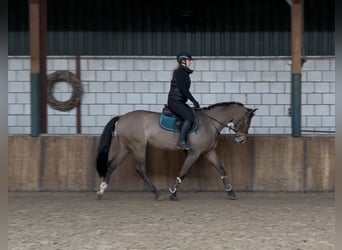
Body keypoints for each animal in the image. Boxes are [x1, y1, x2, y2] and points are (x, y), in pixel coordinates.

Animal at [95, 100, 255, 200]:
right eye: (247, 121)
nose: (241, 140)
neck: (209, 123)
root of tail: (122, 117)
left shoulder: (208, 152)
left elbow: (221, 169)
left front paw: (231, 192)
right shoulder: (195, 153)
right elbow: (183, 171)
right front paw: (173, 192)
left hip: (126, 147)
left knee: (112, 164)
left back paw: (101, 191)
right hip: (138, 146)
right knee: (140, 168)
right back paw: (157, 193)